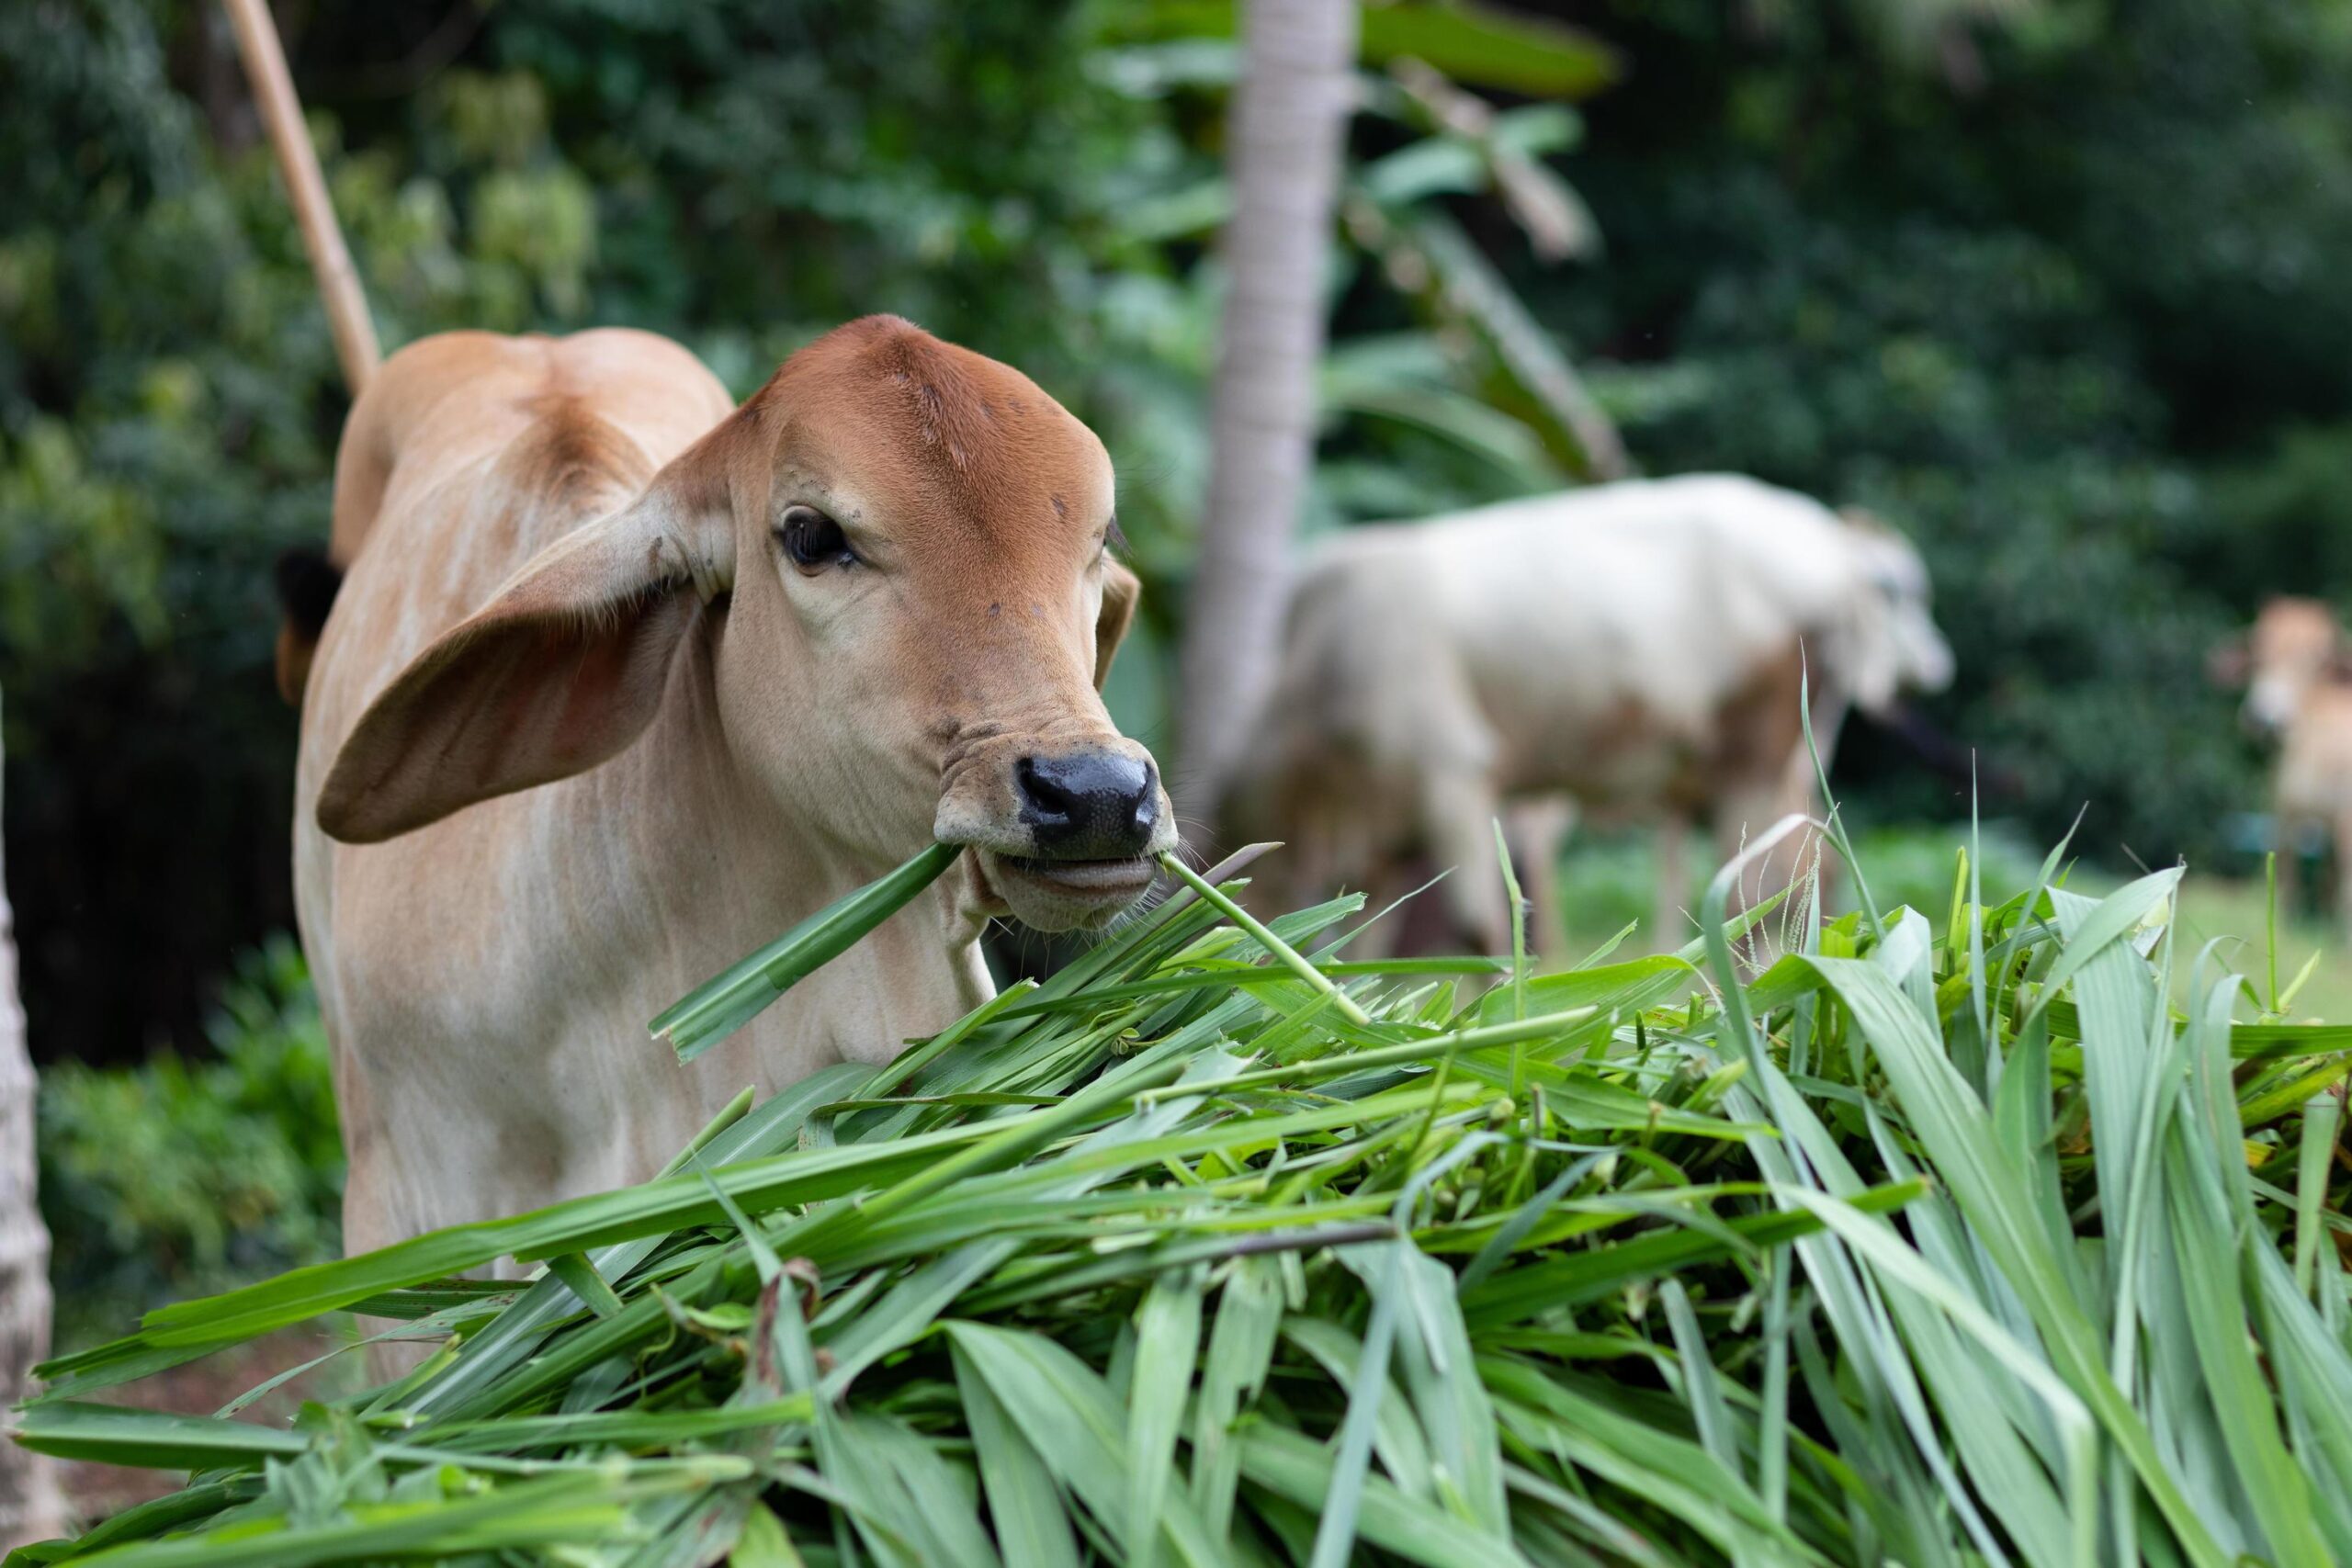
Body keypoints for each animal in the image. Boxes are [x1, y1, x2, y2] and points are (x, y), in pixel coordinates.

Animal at [1223, 472, 1956, 949]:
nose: (1937, 665)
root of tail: (1833, 547)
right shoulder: (1387, 833)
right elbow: (1365, 932)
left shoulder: (1453, 778)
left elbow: (1482, 927)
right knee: (1805, 876)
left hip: (1752, 761)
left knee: (1758, 893)